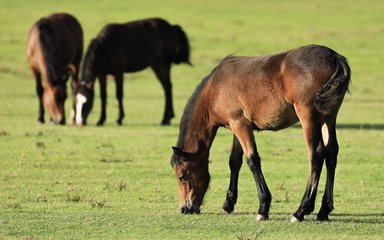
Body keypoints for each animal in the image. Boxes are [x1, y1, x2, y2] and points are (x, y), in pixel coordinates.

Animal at [171, 44, 352, 221]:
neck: (214, 89)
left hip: (308, 117)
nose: (184, 208)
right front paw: (229, 203)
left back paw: (301, 211)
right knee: (331, 154)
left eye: (182, 176)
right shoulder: (238, 126)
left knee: (316, 155)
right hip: (328, 118)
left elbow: (252, 160)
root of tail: (335, 57)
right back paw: (323, 211)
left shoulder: (240, 125)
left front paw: (263, 208)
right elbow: (234, 161)